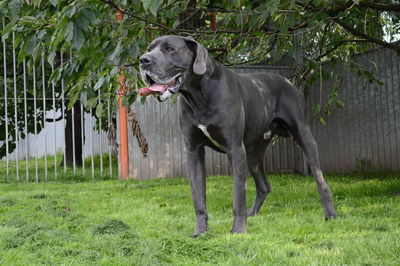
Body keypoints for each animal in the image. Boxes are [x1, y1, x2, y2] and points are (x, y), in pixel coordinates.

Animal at [139, 35, 336, 237]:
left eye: (170, 49)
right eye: (149, 49)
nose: (143, 60)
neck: (199, 94)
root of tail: (289, 82)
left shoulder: (234, 149)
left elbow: (238, 194)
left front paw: (239, 230)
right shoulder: (194, 151)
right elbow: (198, 197)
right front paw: (201, 231)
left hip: (303, 137)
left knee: (321, 181)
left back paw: (330, 214)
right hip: (252, 154)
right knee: (264, 186)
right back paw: (252, 214)